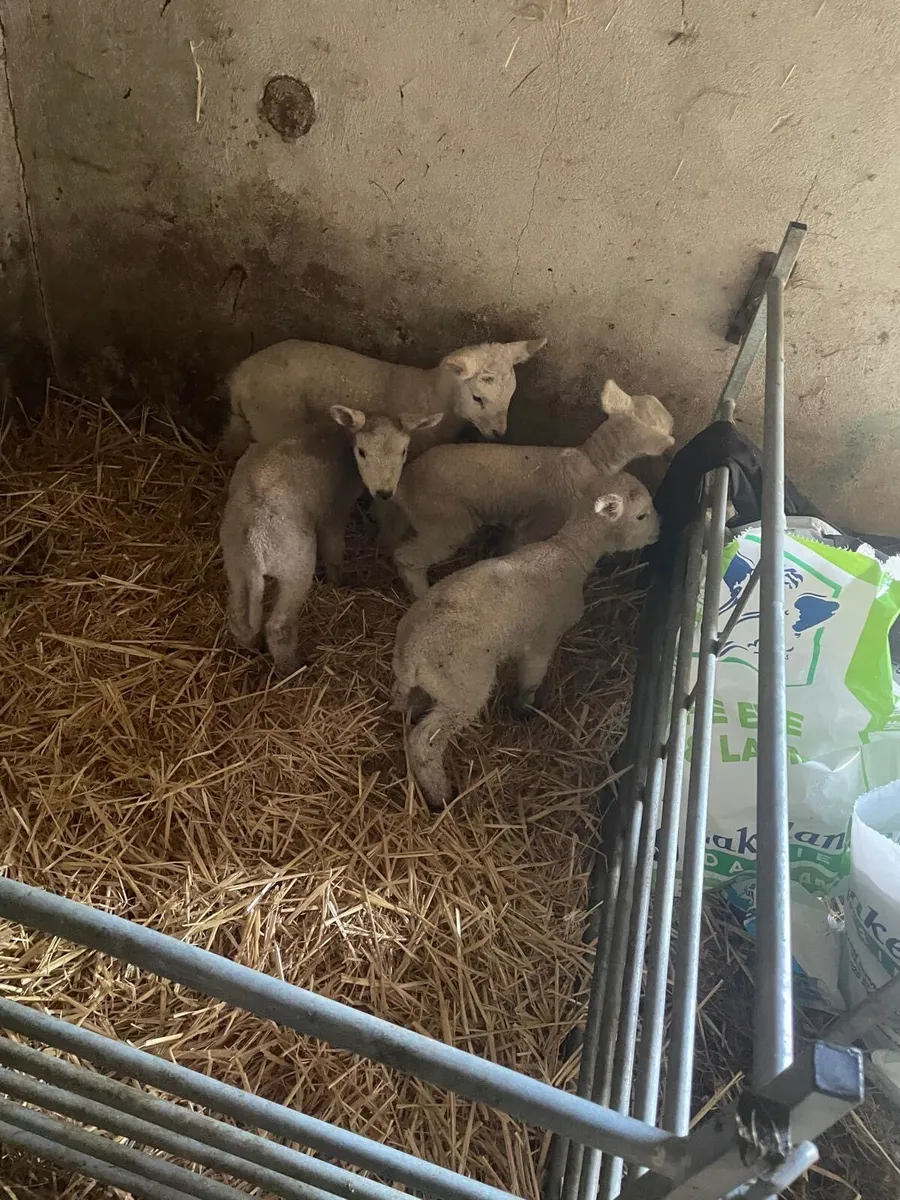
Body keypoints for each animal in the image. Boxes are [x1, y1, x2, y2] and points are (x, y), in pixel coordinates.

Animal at [220, 336, 548, 459]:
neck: (430, 393)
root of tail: (240, 377)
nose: (499, 433)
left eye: (511, 395)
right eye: (478, 398)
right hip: (273, 421)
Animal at [220, 405, 442, 676]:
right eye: (362, 452)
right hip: (295, 563)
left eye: (403, 451)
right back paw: (292, 669)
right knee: (279, 627)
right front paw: (338, 583)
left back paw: (250, 647)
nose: (384, 493)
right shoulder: (335, 511)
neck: (341, 439)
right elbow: (335, 551)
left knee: (238, 615)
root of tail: (253, 543)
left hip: (236, 565)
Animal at [390, 379, 673, 597]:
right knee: (406, 557)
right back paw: (421, 593)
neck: (589, 462)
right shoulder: (542, 524)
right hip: (445, 523)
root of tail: (405, 482)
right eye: (660, 424)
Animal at [392, 477, 660, 810]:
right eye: (641, 516)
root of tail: (411, 654)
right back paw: (441, 795)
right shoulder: (542, 641)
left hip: (421, 681)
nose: (658, 532)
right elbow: (531, 678)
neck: (568, 552)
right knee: (425, 742)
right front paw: (524, 709)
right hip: (463, 688)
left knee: (402, 705)